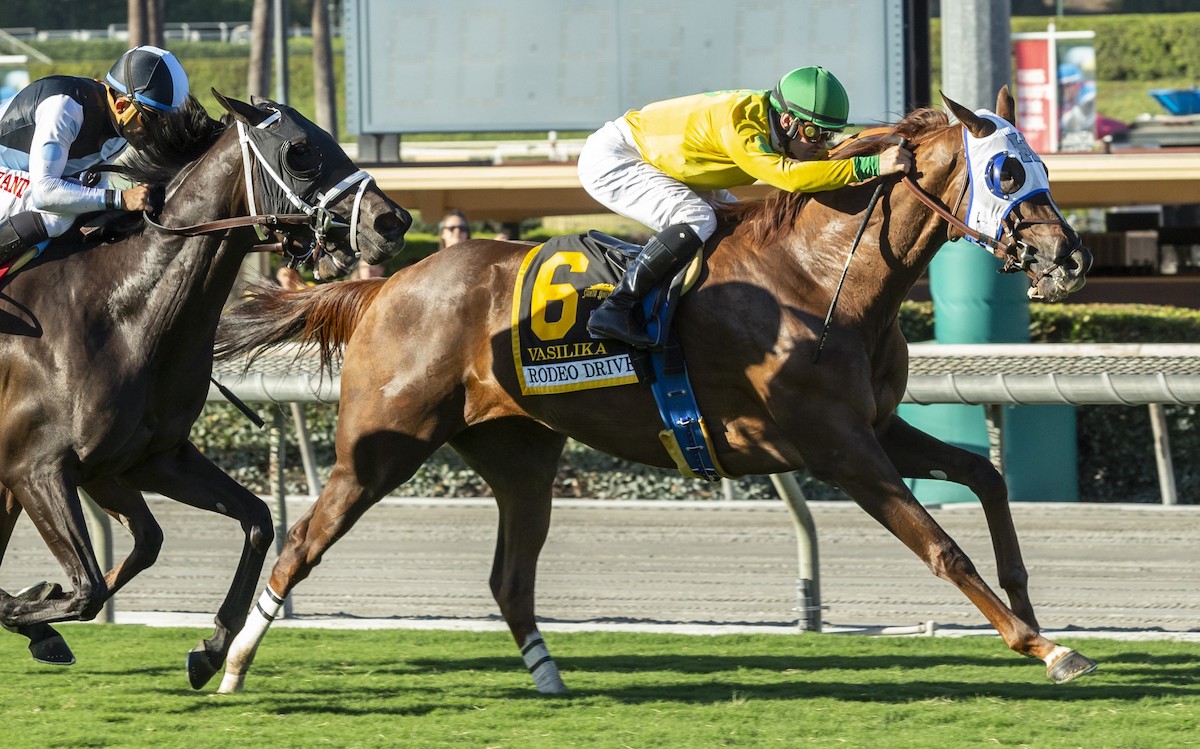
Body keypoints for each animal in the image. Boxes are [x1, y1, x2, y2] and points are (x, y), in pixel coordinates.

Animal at [0, 89, 410, 686]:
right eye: (301, 151)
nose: (393, 222)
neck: (121, 313)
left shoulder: (142, 461)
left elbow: (254, 521)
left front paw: (211, 648)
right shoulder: (36, 469)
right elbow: (87, 587)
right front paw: (29, 609)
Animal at [213, 90, 1099, 691]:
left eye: (1043, 166)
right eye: (1007, 169)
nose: (1069, 257)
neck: (823, 277)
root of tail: (385, 286)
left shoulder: (876, 426)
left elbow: (986, 474)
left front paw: (1031, 604)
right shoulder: (838, 446)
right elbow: (942, 545)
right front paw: (1043, 646)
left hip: (521, 453)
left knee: (509, 578)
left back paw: (551, 679)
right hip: (380, 446)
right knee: (301, 542)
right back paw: (231, 662)